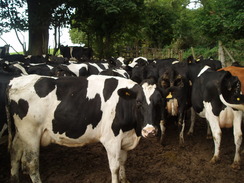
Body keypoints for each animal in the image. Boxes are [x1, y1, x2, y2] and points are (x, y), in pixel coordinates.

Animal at [6, 74, 162, 183]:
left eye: (159, 102)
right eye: (138, 102)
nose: (150, 131)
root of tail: (15, 81)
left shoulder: (123, 138)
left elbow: (123, 161)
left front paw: (124, 179)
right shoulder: (111, 140)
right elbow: (115, 167)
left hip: (21, 133)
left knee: (15, 151)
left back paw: (14, 178)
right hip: (30, 132)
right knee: (31, 163)